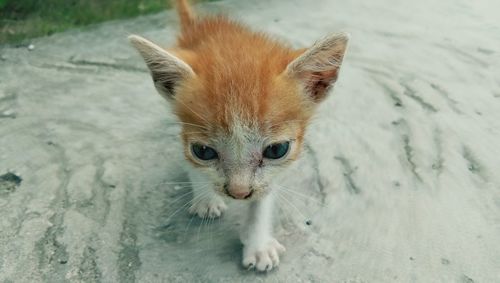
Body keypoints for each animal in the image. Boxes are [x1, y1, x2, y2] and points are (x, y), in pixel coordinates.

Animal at [129, 0, 348, 272]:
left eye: (276, 150)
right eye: (204, 151)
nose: (239, 193)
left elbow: (264, 196)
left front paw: (257, 244)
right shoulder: (186, 135)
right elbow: (190, 161)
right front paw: (206, 197)